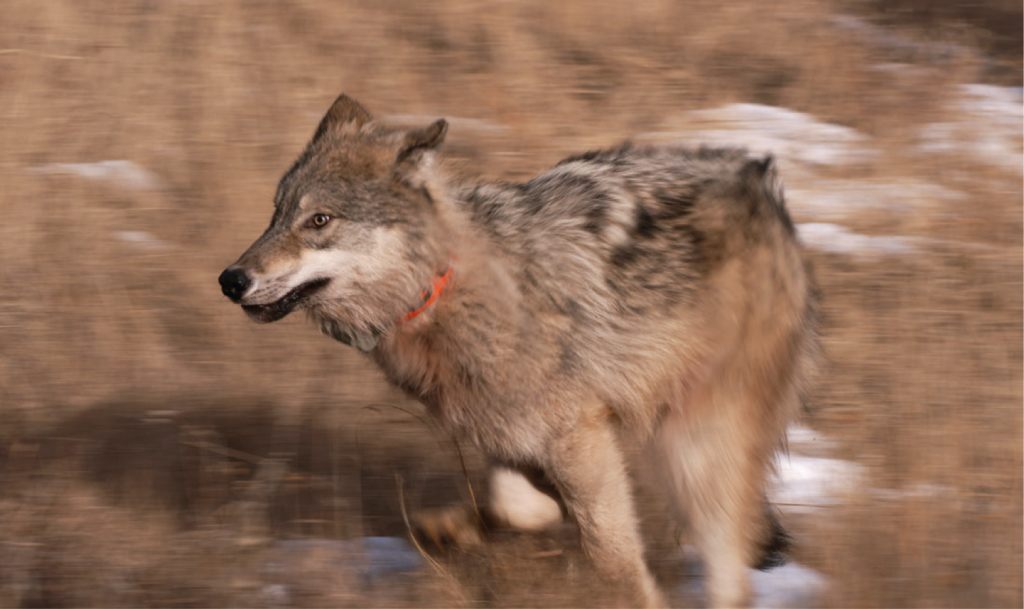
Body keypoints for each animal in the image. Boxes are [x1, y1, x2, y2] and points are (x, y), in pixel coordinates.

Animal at [219, 94, 818, 609]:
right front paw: (459, 528)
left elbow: (613, 560)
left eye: (319, 221)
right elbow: (519, 506)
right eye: (275, 215)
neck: (445, 293)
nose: (230, 279)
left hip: (698, 445)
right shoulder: (508, 434)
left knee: (729, 565)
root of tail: (761, 180)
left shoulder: (579, 436)